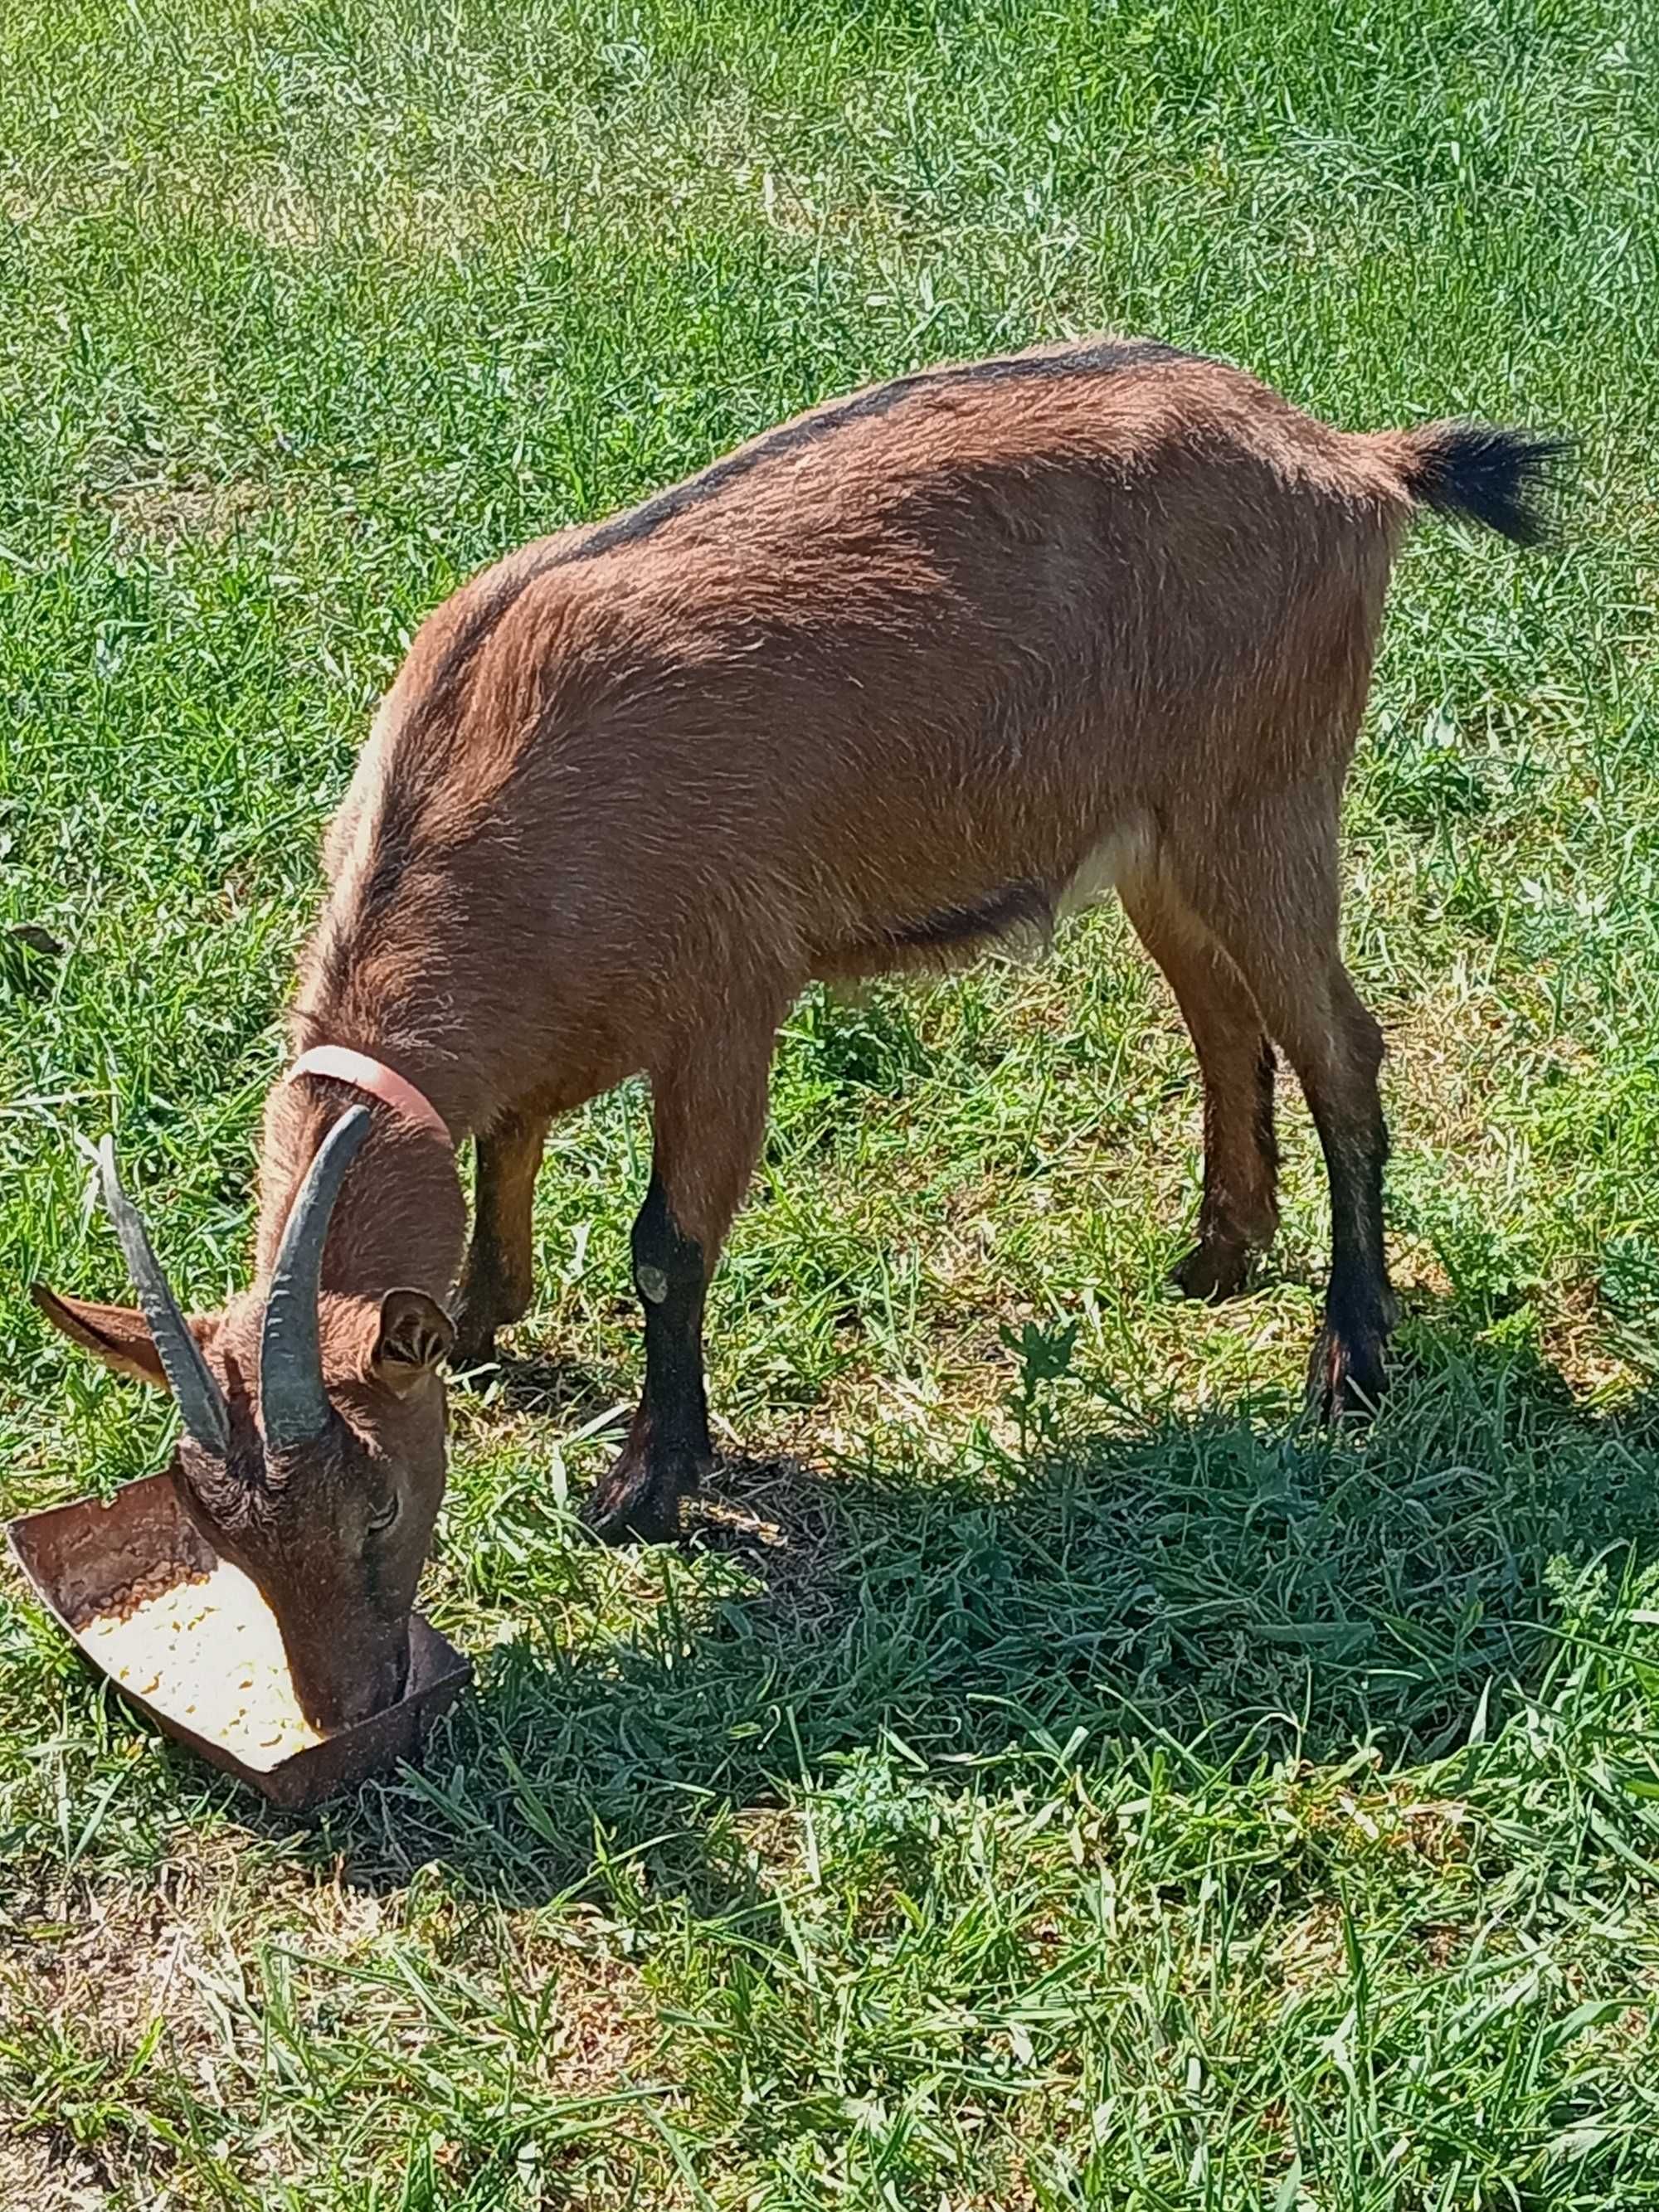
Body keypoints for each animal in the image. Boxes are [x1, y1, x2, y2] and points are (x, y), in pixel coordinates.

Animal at [29, 340, 1557, 1725]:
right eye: (216, 1534)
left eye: (377, 1505)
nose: (347, 1706)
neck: (494, 789)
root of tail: (1353, 460)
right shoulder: (565, 1021)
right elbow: (510, 1139)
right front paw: (480, 1315)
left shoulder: (727, 999)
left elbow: (665, 1246)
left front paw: (647, 1483)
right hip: (1158, 840)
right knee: (1224, 1016)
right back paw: (1220, 1252)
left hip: (1268, 797)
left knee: (1344, 1048)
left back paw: (1349, 1360)